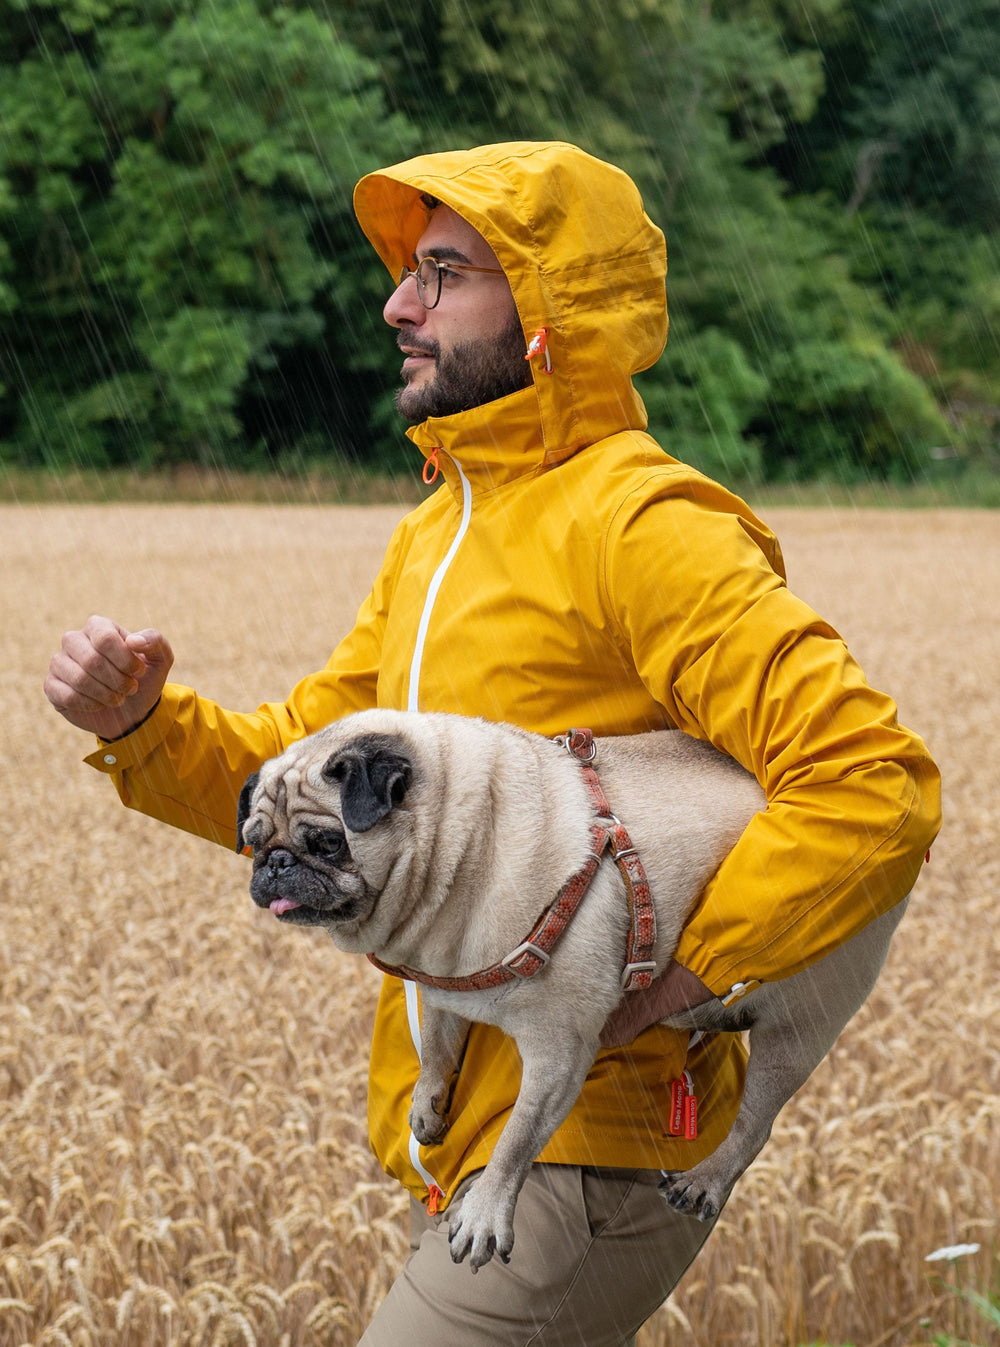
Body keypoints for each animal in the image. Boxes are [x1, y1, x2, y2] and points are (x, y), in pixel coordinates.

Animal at [238, 711, 911, 1266]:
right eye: (254, 838)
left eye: (328, 842)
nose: (274, 862)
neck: (467, 846)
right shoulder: (444, 985)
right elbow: (438, 1049)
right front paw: (428, 1107)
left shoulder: (559, 1052)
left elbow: (516, 1139)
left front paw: (485, 1213)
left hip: (801, 1023)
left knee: (756, 1121)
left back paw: (705, 1181)